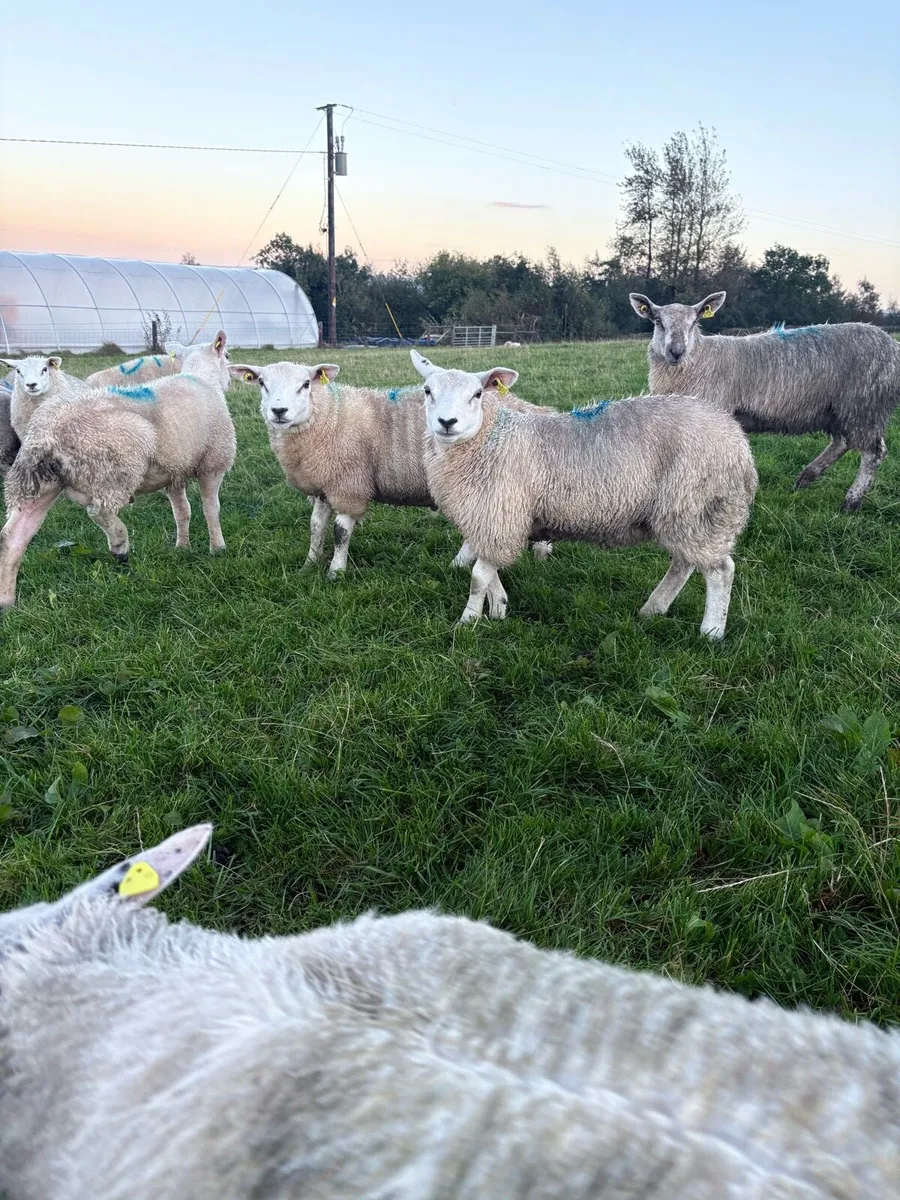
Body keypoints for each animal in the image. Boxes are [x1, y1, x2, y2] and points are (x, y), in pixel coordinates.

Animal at [0, 331, 236, 609]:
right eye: (227, 356)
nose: (231, 381)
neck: (203, 379)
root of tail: (48, 434)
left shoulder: (174, 472)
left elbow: (182, 512)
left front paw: (182, 547)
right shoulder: (213, 462)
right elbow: (211, 509)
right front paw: (217, 548)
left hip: (41, 482)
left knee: (13, 536)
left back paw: (7, 601)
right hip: (116, 465)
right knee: (98, 510)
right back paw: (119, 543)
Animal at [230, 354, 552, 582]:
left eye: (306, 384)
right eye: (261, 383)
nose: (278, 411)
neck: (330, 416)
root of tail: (536, 409)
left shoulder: (349, 483)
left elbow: (340, 532)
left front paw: (336, 571)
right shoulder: (323, 486)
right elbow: (316, 527)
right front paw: (309, 564)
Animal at [411, 353, 757, 639]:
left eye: (478, 394)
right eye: (427, 391)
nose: (447, 422)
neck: (489, 440)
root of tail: (736, 437)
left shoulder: (500, 516)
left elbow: (478, 576)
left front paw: (468, 620)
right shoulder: (490, 520)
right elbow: (488, 569)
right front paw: (498, 606)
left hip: (698, 504)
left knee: (720, 571)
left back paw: (711, 631)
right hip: (684, 512)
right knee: (684, 562)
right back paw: (653, 608)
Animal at [629, 292, 900, 511]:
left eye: (695, 322)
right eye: (657, 321)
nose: (676, 352)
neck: (700, 359)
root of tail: (893, 346)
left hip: (864, 405)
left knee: (874, 453)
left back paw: (851, 501)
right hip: (837, 409)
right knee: (842, 442)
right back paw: (806, 478)